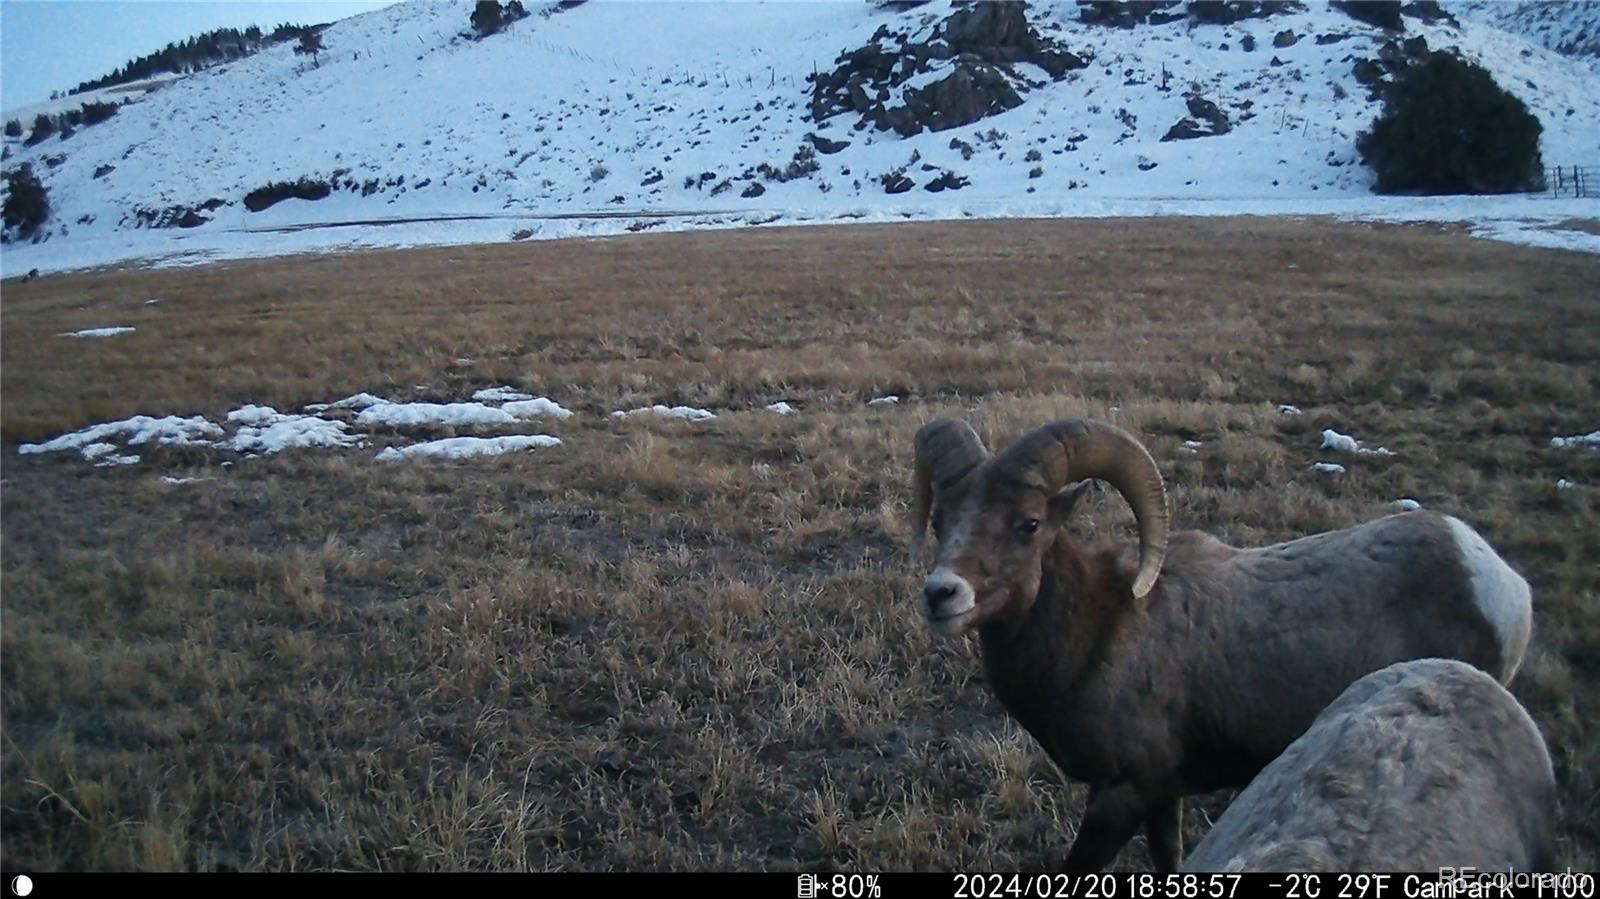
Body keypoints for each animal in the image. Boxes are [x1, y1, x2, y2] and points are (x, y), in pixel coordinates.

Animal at [908, 415, 1529, 870]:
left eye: (1029, 524)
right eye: (940, 520)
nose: (941, 594)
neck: (1096, 636)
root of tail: (1502, 583)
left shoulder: (1120, 797)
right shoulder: (1162, 797)